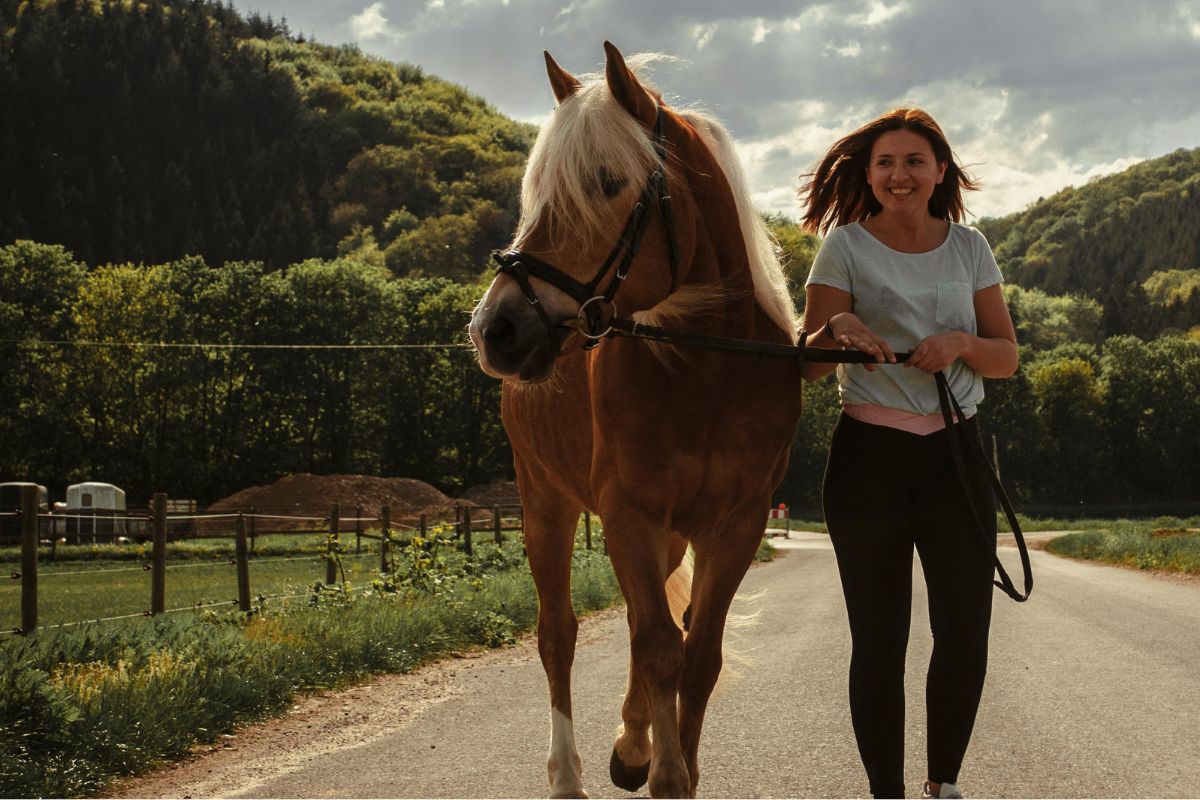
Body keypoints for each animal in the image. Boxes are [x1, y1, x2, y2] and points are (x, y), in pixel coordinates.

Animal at [468, 42, 806, 796]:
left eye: (604, 182)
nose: (495, 328)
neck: (706, 373)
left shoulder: (734, 525)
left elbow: (696, 653)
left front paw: (664, 754)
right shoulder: (627, 513)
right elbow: (657, 647)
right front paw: (667, 771)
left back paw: (631, 741)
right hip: (545, 502)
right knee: (558, 633)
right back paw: (570, 773)